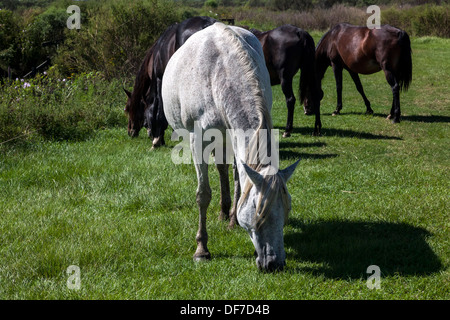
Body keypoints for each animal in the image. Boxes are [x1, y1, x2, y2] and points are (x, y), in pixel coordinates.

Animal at [162, 22, 298, 272]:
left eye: (286, 208)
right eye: (257, 210)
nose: (274, 263)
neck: (218, 73)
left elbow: (238, 180)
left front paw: (234, 218)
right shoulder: (198, 141)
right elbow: (203, 193)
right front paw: (201, 249)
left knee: (229, 173)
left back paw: (229, 215)